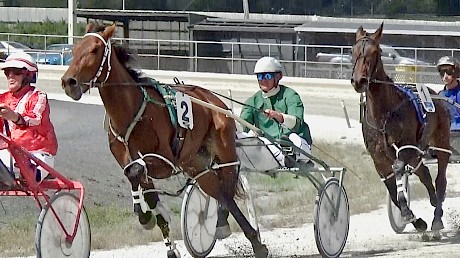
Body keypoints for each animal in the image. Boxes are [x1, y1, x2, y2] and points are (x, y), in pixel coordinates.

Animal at [61, 22, 270, 258]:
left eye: (95, 49)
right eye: (76, 48)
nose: (68, 82)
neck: (132, 112)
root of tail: (214, 99)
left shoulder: (165, 161)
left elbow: (136, 171)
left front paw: (145, 215)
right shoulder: (126, 156)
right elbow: (137, 178)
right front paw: (161, 232)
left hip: (224, 150)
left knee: (227, 186)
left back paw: (250, 240)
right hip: (193, 163)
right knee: (219, 191)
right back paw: (233, 230)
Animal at [350, 23, 452, 231]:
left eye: (375, 51)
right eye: (352, 51)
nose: (359, 81)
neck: (384, 115)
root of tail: (436, 95)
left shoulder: (406, 148)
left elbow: (398, 168)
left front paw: (406, 210)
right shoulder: (378, 160)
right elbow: (391, 189)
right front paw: (416, 220)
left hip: (441, 143)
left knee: (440, 179)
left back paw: (437, 217)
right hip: (418, 153)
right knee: (425, 174)